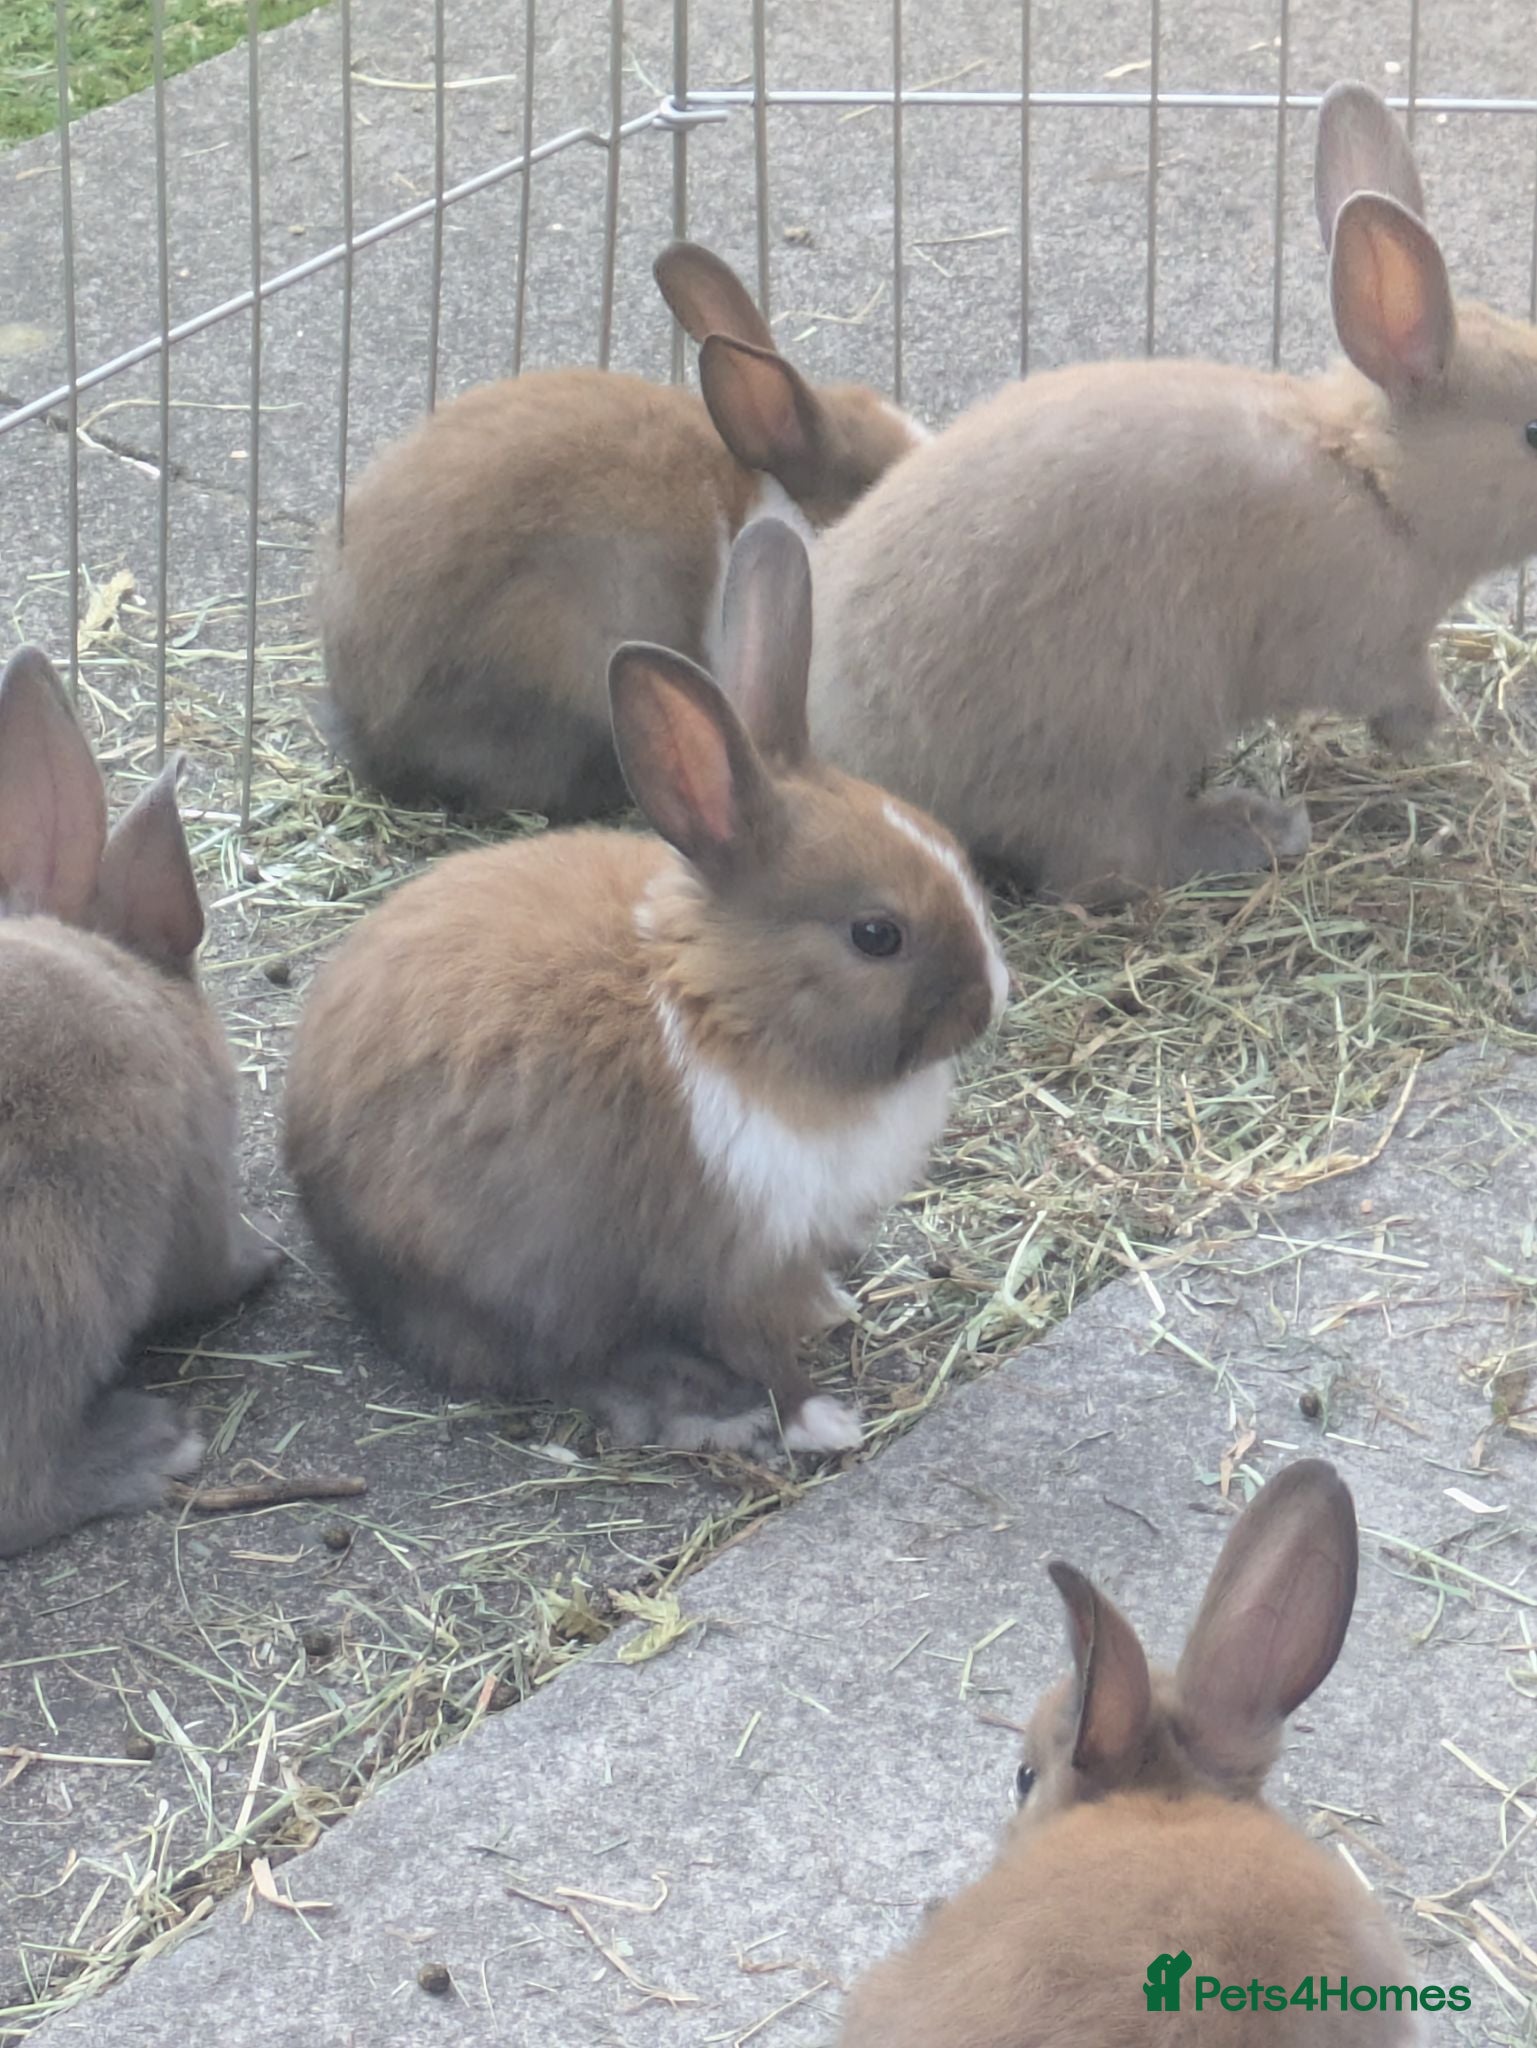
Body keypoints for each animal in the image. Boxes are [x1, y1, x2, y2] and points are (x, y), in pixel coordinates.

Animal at [285, 518, 1007, 1455]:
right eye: (875, 936)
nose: (988, 1005)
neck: (727, 1011)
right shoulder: (726, 1255)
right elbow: (756, 1347)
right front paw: (822, 1422)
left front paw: (830, 1307)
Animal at [809, 80, 1537, 906]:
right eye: (1532, 432)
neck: (1371, 480)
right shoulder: (1366, 644)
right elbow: (1395, 688)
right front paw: (1433, 726)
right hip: (1111, 744)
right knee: (1110, 865)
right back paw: (1259, 829)